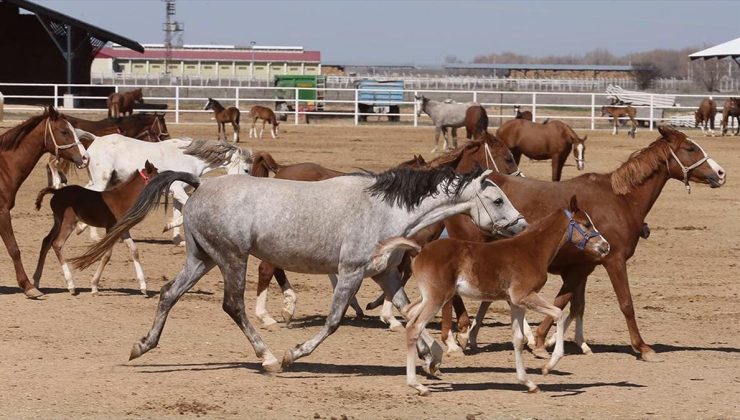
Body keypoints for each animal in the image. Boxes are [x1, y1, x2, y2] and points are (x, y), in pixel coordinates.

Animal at [0, 108, 88, 298]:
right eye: (64, 132)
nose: (85, 158)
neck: (3, 169)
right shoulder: (2, 212)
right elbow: (14, 249)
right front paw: (28, 287)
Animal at [33, 160, 159, 296]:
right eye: (157, 177)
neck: (121, 199)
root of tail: (57, 192)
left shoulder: (123, 230)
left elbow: (134, 250)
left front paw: (143, 287)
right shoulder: (111, 229)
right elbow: (107, 255)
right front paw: (94, 286)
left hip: (58, 222)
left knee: (46, 241)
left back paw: (36, 281)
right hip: (68, 222)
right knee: (57, 244)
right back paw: (71, 285)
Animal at [76, 135, 251, 244]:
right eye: (247, 169)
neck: (191, 159)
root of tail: (96, 141)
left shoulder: (178, 193)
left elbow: (178, 213)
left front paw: (177, 240)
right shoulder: (177, 190)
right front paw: (167, 227)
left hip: (107, 181)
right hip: (102, 180)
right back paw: (88, 233)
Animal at [398, 195, 608, 396]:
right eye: (586, 224)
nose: (605, 246)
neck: (531, 251)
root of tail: (420, 251)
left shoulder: (516, 303)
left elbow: (518, 339)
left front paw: (528, 383)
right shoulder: (524, 296)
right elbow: (559, 313)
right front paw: (547, 367)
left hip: (430, 296)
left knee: (409, 314)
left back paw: (431, 363)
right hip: (437, 297)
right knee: (414, 327)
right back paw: (418, 384)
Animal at [442, 124, 724, 360]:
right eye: (690, 148)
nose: (720, 173)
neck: (620, 201)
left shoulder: (583, 266)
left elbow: (569, 302)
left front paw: (547, 341)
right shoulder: (613, 260)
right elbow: (625, 303)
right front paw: (642, 347)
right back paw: (459, 337)